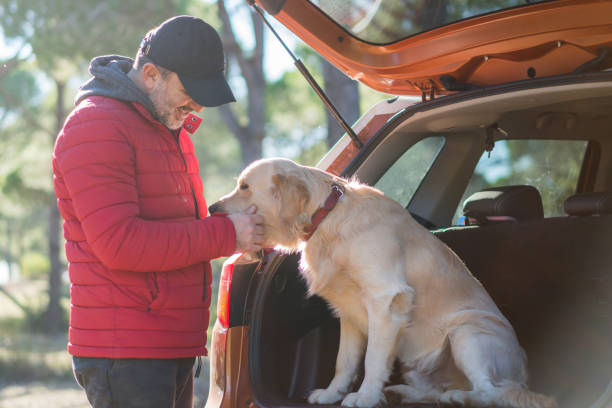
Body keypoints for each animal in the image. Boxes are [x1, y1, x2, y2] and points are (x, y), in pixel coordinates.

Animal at [210, 157, 560, 408]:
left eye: (244, 186)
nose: (212, 208)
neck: (328, 217)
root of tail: (525, 375)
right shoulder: (349, 314)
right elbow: (344, 361)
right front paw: (332, 393)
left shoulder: (385, 300)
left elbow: (373, 360)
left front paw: (364, 397)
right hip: (421, 363)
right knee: (440, 391)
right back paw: (406, 393)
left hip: (468, 333)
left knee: (491, 392)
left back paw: (459, 397)